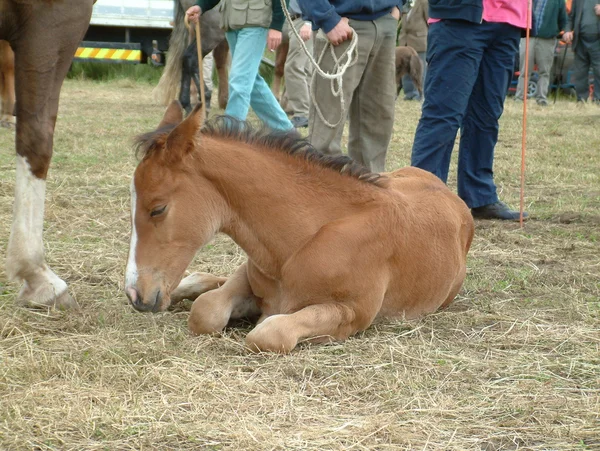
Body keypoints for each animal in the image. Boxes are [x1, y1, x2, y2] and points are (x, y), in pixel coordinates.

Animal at [125, 102, 474, 354]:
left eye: (158, 208)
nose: (136, 294)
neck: (303, 239)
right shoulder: (250, 271)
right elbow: (206, 311)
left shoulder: (352, 312)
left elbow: (268, 333)